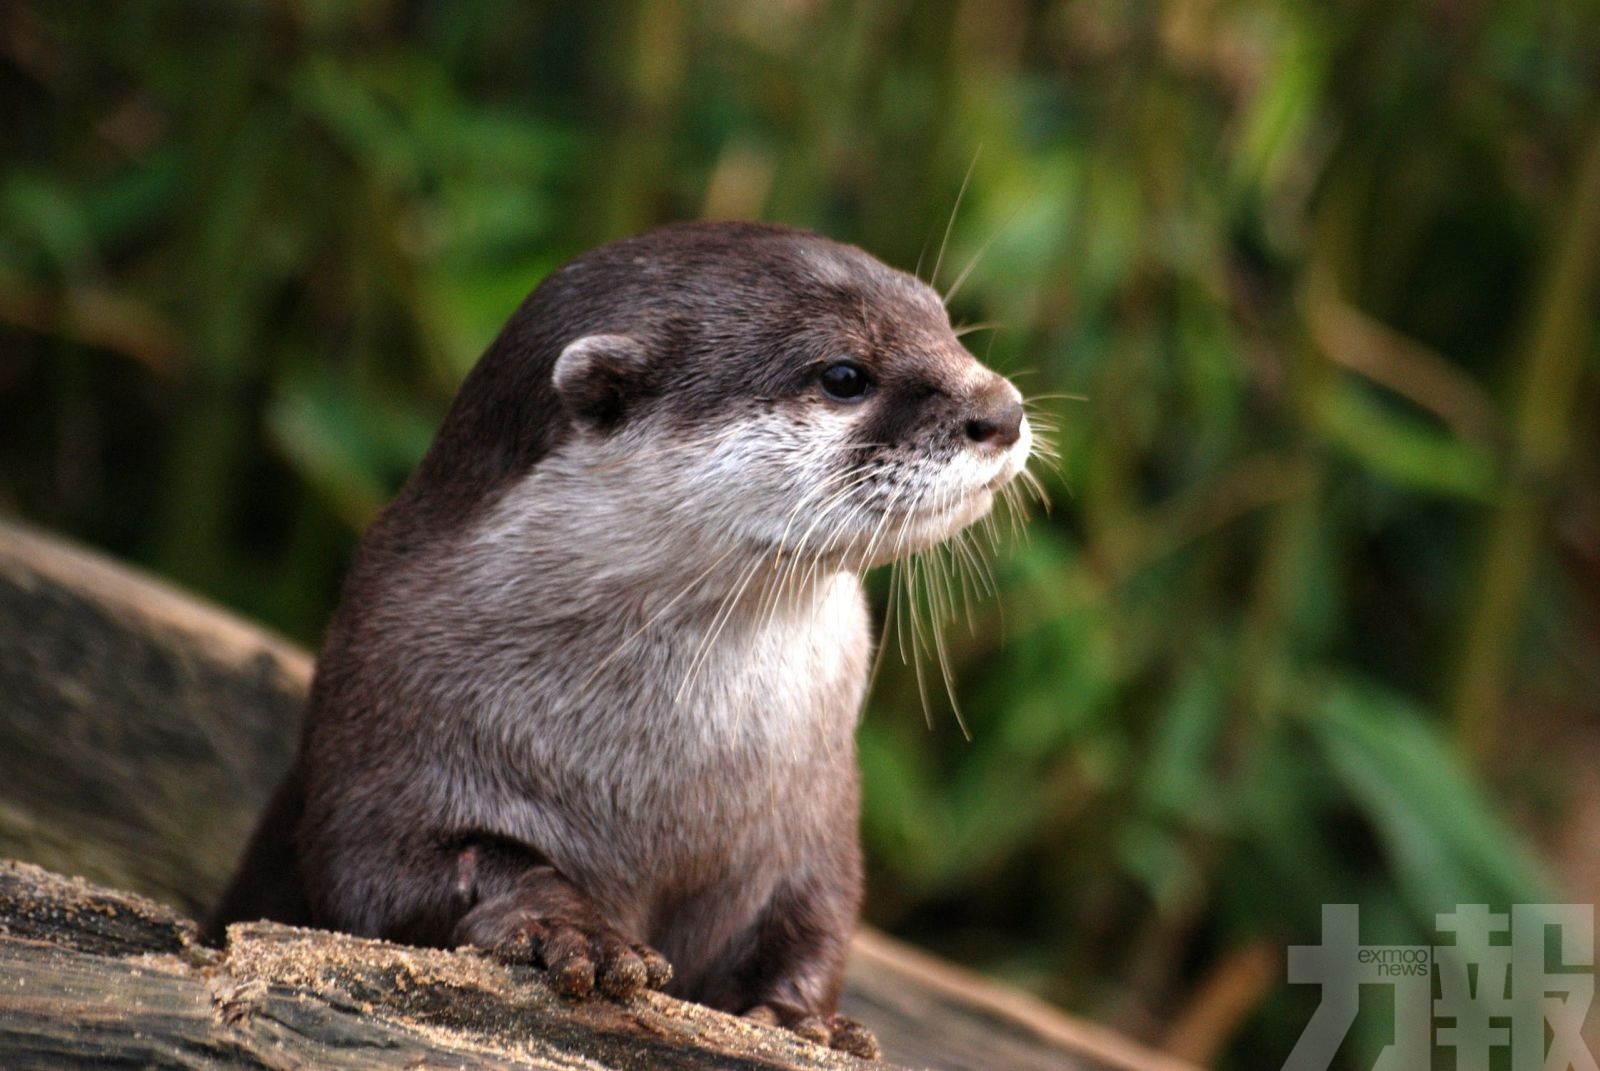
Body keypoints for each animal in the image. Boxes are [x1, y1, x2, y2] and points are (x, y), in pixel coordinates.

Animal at [212, 220, 1030, 1056]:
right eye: (844, 375)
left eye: (942, 321)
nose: (1002, 409)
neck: (664, 784)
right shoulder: (381, 721)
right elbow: (389, 875)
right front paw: (569, 928)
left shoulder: (817, 821)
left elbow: (817, 922)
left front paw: (803, 1018)